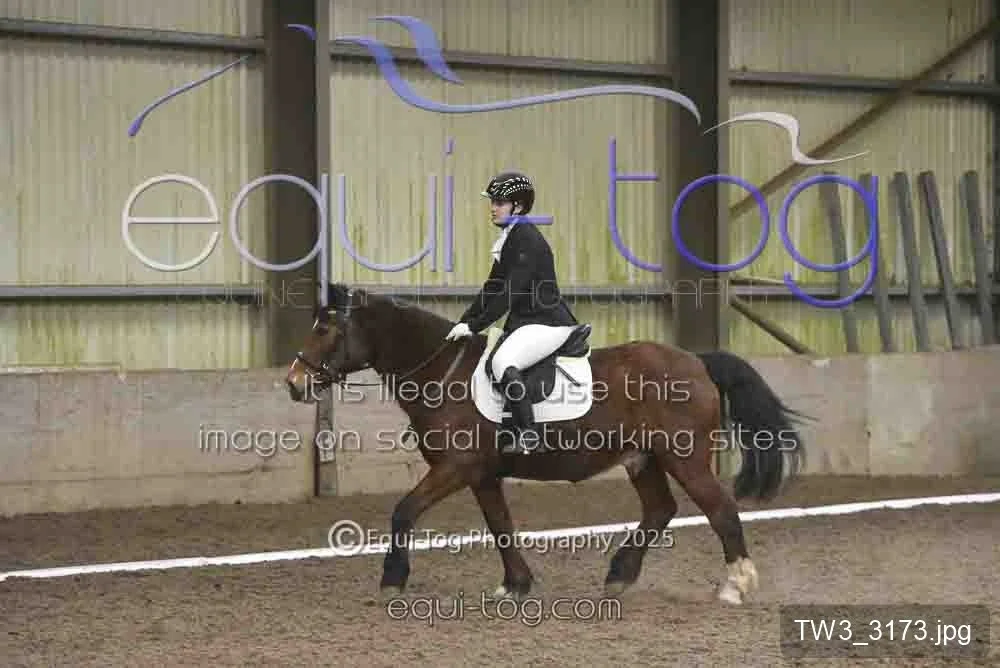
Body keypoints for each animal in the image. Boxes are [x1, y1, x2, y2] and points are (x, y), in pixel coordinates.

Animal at [285, 282, 808, 605]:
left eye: (326, 329)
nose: (293, 383)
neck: (442, 371)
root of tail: (697, 361)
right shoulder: (481, 475)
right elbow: (501, 525)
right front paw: (516, 585)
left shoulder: (455, 468)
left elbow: (403, 511)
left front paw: (392, 580)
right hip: (643, 459)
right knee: (660, 510)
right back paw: (619, 575)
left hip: (687, 457)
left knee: (720, 510)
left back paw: (735, 586)